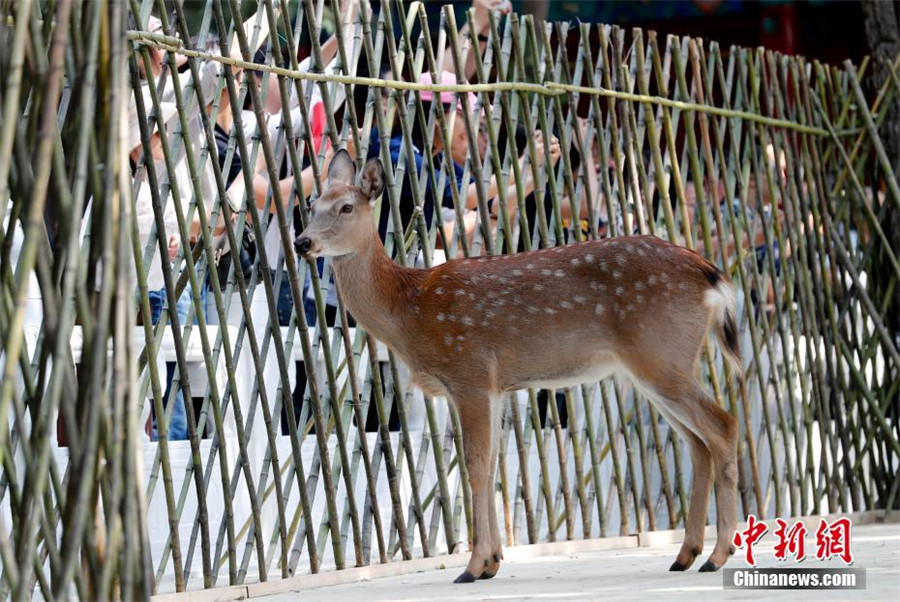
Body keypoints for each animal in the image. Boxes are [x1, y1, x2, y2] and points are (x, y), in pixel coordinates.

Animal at [296, 150, 740, 580]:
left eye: (346, 207)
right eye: (311, 204)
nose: (302, 241)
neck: (408, 309)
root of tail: (710, 274)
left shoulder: (470, 371)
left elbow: (476, 466)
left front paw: (473, 567)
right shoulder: (491, 386)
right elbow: (492, 465)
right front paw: (492, 562)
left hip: (659, 353)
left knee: (722, 425)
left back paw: (716, 556)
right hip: (659, 363)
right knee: (698, 443)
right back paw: (686, 555)